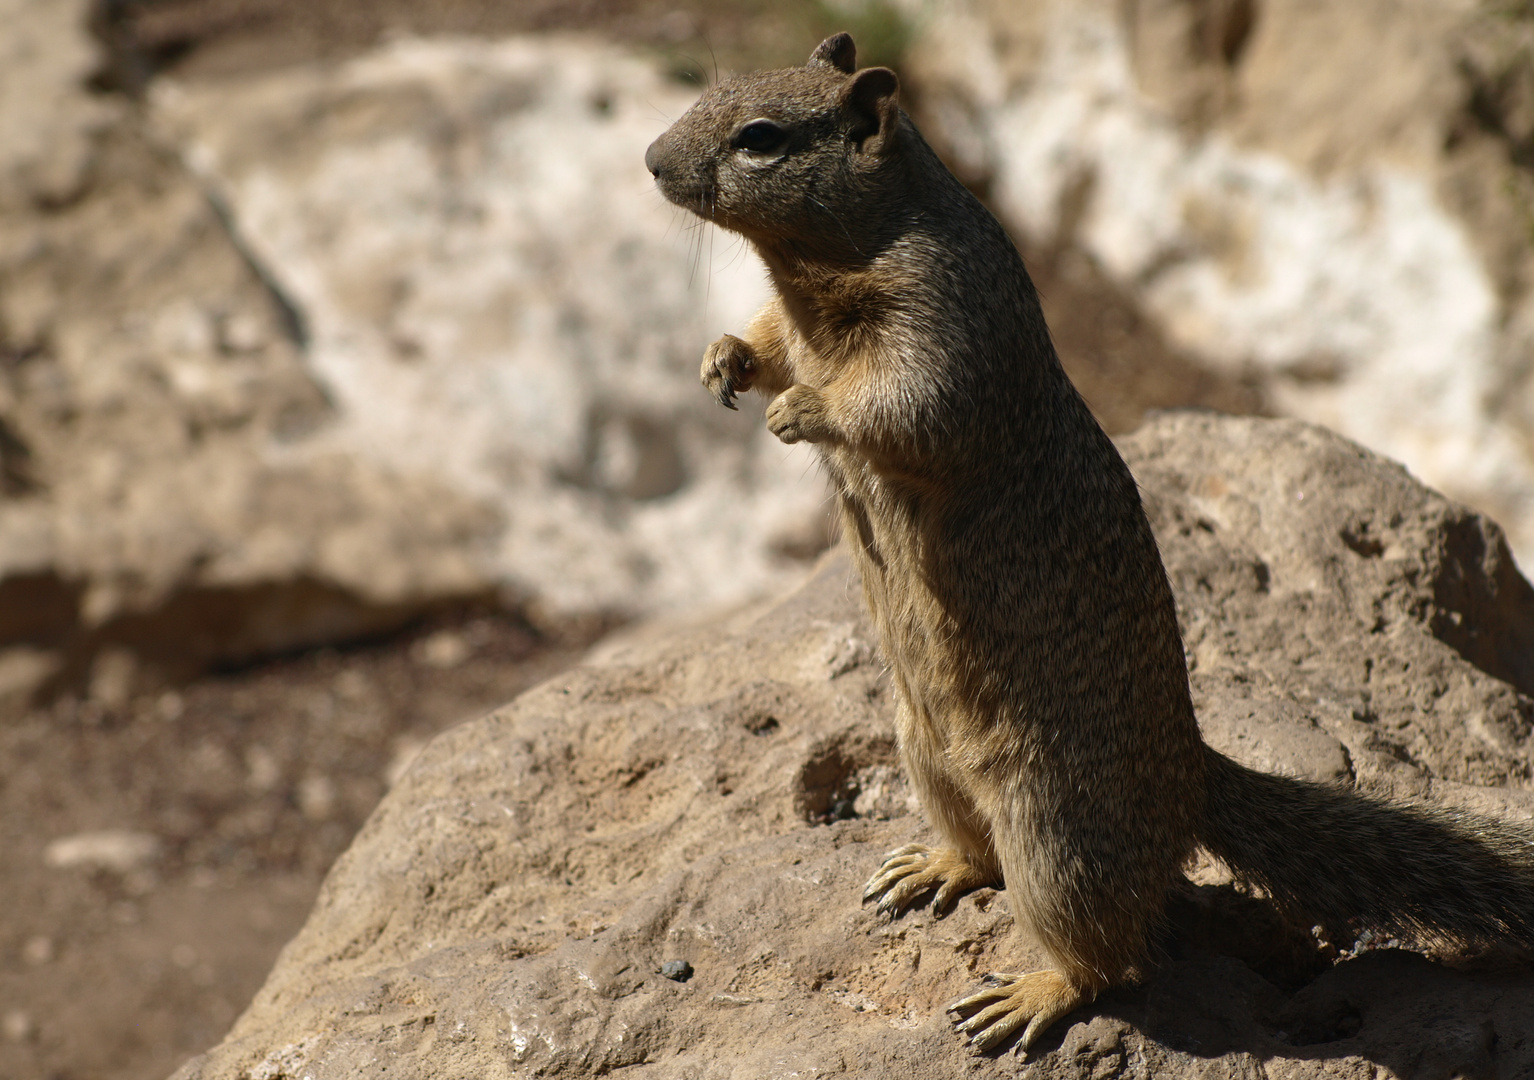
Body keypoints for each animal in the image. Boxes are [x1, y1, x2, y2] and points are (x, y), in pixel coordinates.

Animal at [641, 31, 1534, 1055]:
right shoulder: (799, 318)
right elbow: (766, 340)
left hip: (1059, 835)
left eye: (760, 137)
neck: (821, 264)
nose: (650, 161)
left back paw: (1030, 995)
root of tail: (1189, 779)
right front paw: (723, 361)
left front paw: (801, 410)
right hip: (921, 751)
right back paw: (933, 869)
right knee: (982, 855)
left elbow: (905, 409)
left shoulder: (945, 326)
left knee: (1110, 956)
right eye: (715, 94)